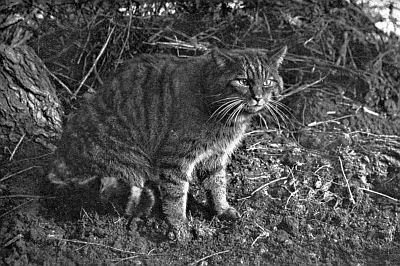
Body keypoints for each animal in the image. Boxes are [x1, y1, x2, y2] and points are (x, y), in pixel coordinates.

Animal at [47, 45, 288, 241]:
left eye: (267, 81)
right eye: (243, 81)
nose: (258, 97)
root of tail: (57, 169)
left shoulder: (215, 156)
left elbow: (217, 184)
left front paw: (222, 209)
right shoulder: (175, 158)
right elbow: (175, 195)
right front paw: (180, 227)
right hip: (129, 161)